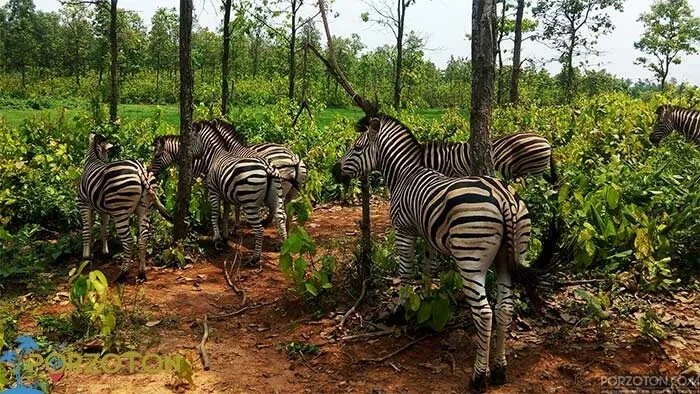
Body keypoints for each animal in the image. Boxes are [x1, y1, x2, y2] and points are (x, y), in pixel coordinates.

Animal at [77, 134, 172, 282]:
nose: (105, 161)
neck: (93, 159)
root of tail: (140, 170)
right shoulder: (104, 210)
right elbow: (104, 231)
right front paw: (105, 254)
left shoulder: (83, 203)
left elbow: (86, 231)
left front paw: (85, 259)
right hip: (145, 208)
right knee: (143, 238)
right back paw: (141, 274)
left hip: (120, 211)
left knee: (128, 241)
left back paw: (123, 273)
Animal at [150, 123, 288, 264]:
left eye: (156, 156)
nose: (150, 171)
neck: (214, 156)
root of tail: (267, 167)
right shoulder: (226, 191)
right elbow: (225, 213)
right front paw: (225, 235)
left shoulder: (213, 190)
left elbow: (214, 213)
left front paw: (216, 238)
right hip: (275, 196)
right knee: (281, 216)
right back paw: (283, 246)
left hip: (249, 201)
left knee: (259, 229)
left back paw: (255, 258)